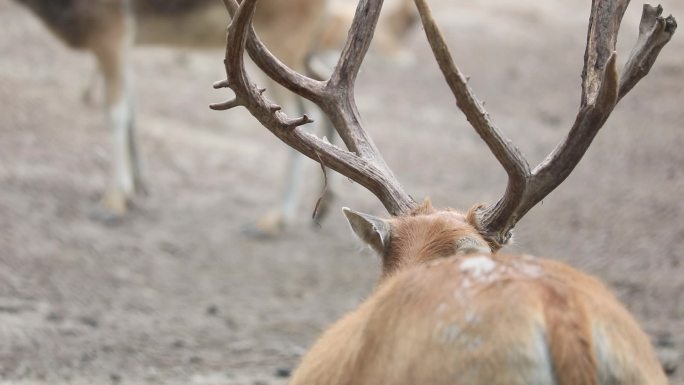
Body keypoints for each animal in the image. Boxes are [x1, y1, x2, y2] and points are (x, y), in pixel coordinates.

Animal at [12, 0, 416, 232]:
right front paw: (138, 187)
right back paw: (323, 206)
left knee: (300, 112)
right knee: (317, 102)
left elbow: (115, 113)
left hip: (284, 35)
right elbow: (131, 109)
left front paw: (113, 202)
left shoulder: (111, 27)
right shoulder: (121, 38)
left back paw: (276, 218)